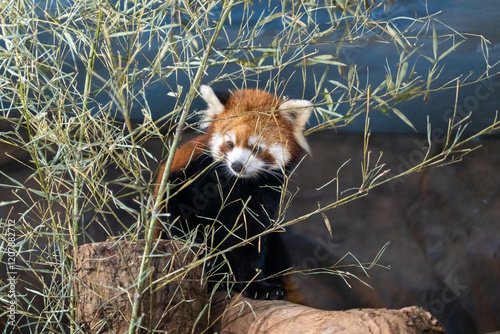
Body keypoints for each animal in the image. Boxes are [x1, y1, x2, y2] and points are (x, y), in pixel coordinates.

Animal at [153, 85, 312, 300]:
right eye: (230, 144)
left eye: (256, 148)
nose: (237, 165)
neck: (239, 183)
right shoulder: (195, 175)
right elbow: (178, 208)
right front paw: (196, 247)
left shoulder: (260, 199)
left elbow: (250, 242)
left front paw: (259, 287)